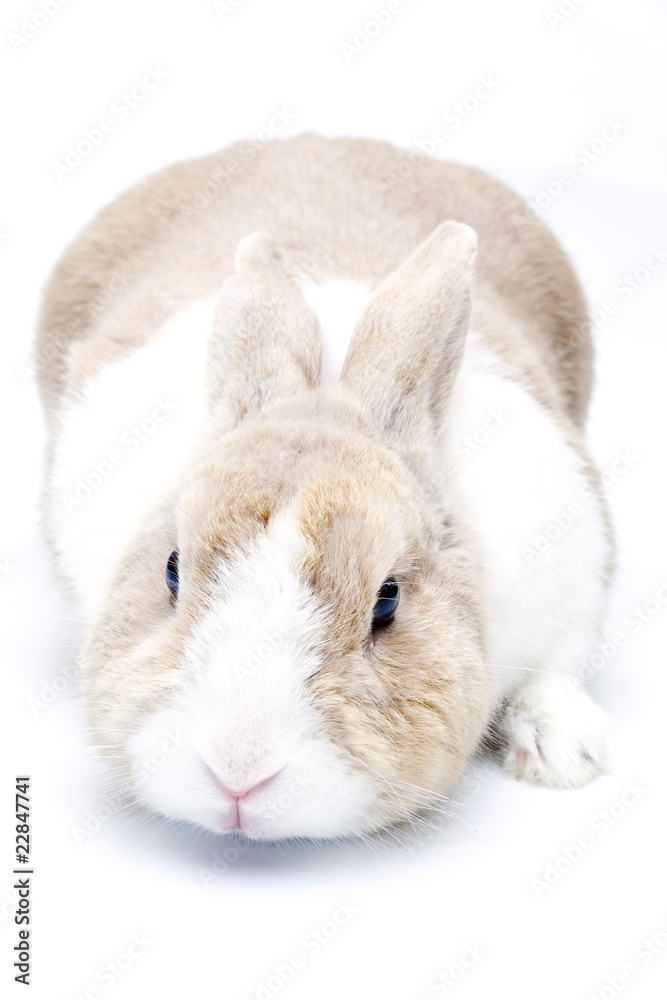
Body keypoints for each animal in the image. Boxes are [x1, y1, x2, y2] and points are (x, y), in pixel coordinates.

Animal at [36, 133, 612, 840]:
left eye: (388, 601)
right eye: (171, 570)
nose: (238, 774)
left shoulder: (576, 561)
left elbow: (558, 665)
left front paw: (562, 754)